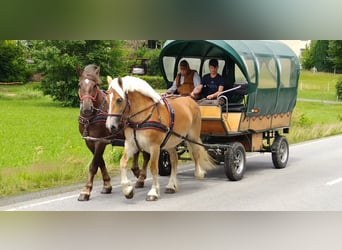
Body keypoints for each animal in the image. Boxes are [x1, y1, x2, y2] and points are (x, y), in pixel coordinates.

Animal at [78, 65, 150, 201]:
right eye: (79, 85)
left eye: (95, 85)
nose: (87, 108)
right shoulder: (90, 141)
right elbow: (100, 163)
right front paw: (107, 185)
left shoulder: (100, 141)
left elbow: (93, 166)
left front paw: (85, 191)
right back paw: (136, 171)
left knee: (147, 155)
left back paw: (141, 178)